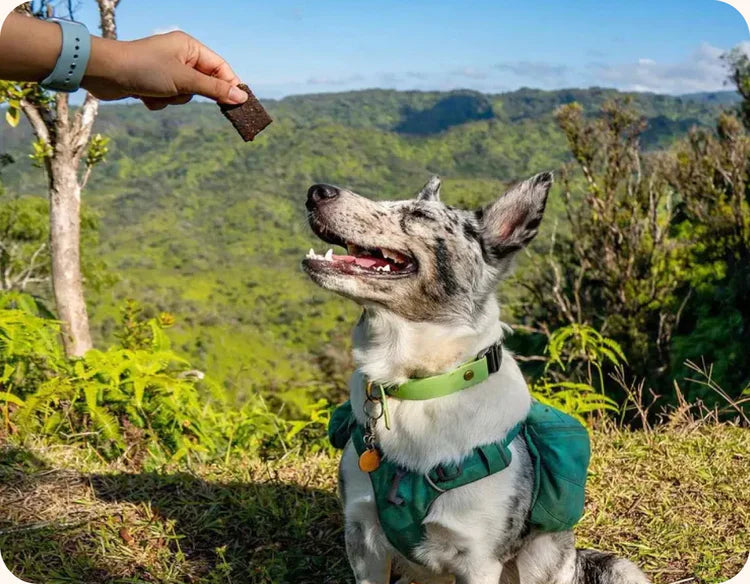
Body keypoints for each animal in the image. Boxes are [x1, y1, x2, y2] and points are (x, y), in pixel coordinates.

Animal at [302, 173, 648, 584]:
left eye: (418, 215)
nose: (316, 191)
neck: (419, 387)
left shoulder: (478, 560)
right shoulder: (363, 539)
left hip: (543, 555)